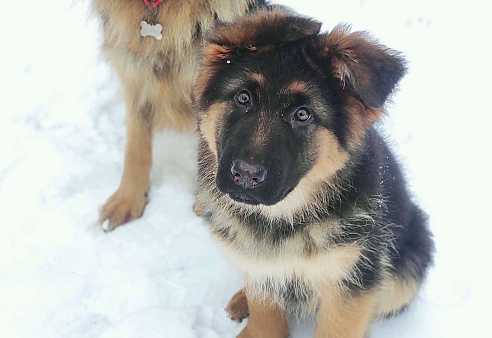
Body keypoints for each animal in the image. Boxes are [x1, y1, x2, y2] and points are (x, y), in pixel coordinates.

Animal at [194, 8, 432, 338]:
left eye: (303, 115)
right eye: (243, 98)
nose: (245, 175)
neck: (284, 217)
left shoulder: (349, 282)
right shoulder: (260, 267)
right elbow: (265, 312)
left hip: (405, 269)